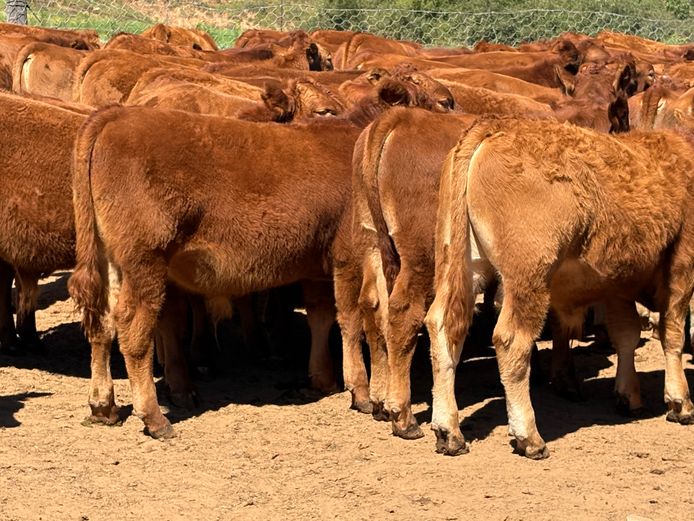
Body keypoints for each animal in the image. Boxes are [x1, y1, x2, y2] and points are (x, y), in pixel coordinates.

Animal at [425, 118, 694, 458]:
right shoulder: (682, 265)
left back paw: (448, 431)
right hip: (528, 277)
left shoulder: (616, 283)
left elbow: (626, 335)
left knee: (443, 329)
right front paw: (680, 402)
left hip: (460, 265)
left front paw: (628, 395)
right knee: (512, 341)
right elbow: (672, 333)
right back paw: (528, 436)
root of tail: (494, 125)